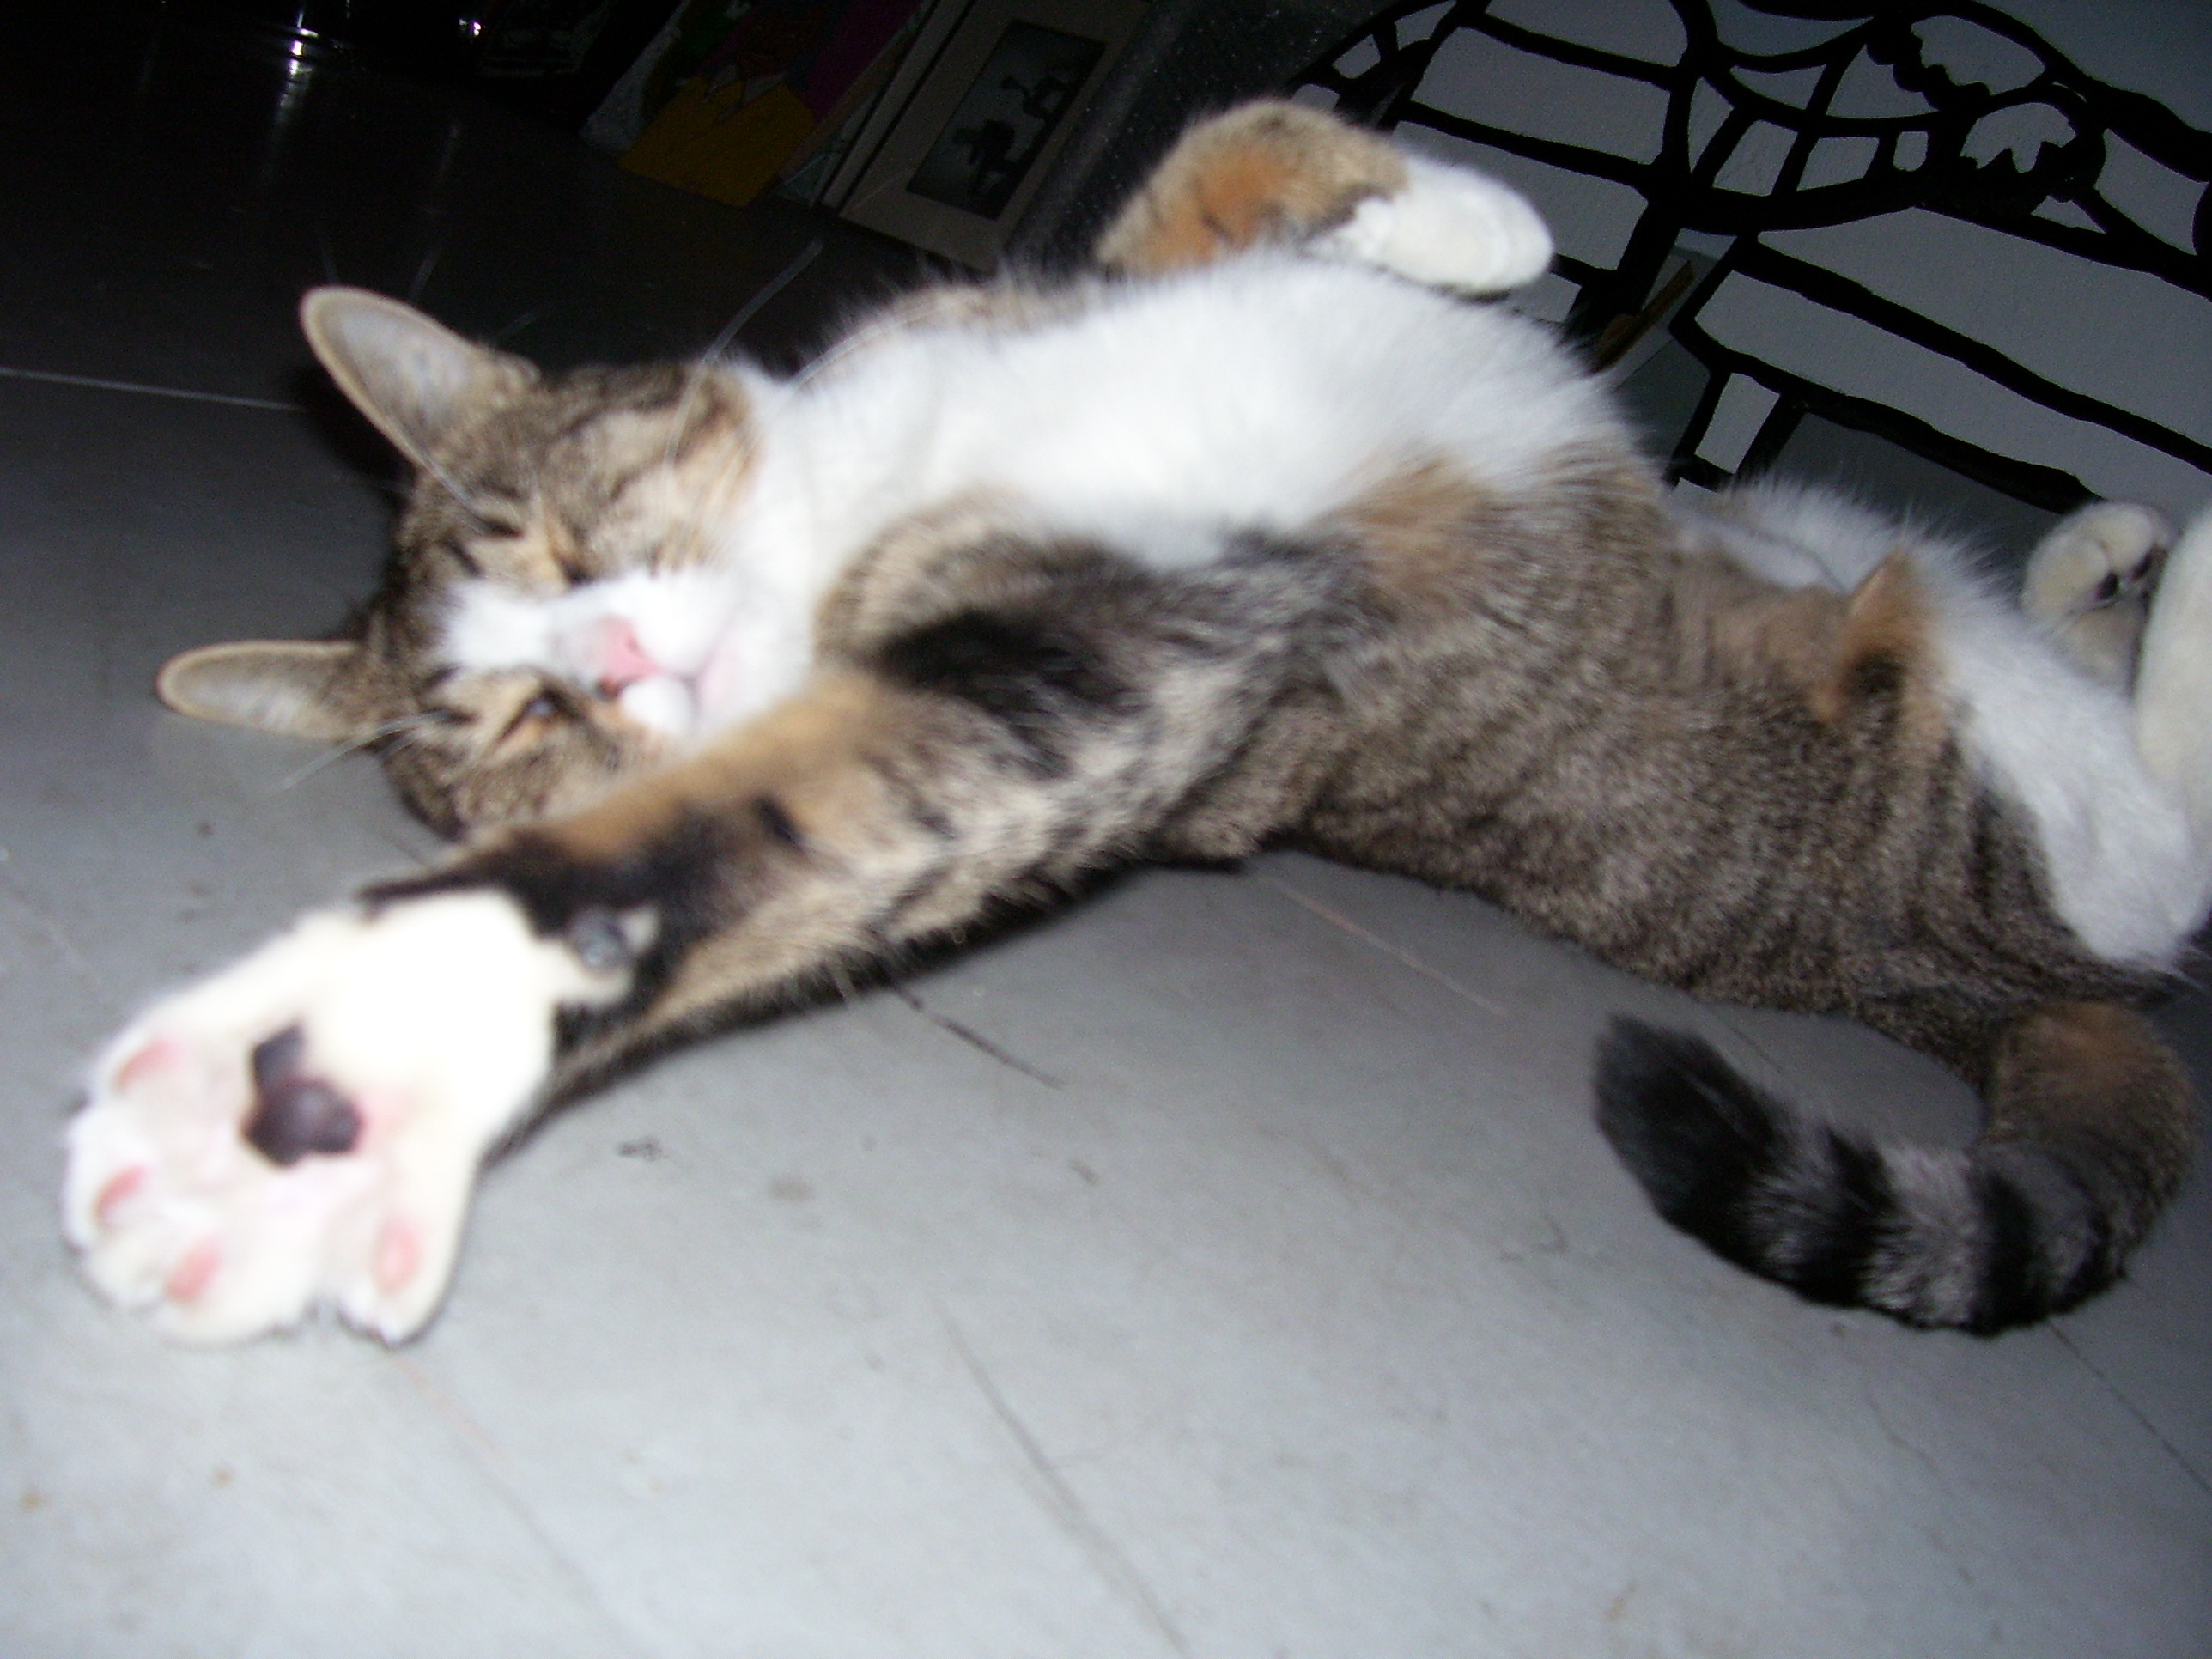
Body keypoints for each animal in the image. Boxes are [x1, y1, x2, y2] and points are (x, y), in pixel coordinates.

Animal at [60, 100, 2203, 1353]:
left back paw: (2100, 545)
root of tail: (1987, 1001)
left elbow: (1231, 153)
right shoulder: (1145, 657)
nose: (614, 662)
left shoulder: (1077, 298)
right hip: (1995, 795)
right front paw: (376, 1063)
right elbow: (778, 823)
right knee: (2165, 830)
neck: (853, 500)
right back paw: (2161, 579)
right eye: (507, 726)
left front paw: (1486, 232)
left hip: (1845, 560)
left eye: (558, 534)